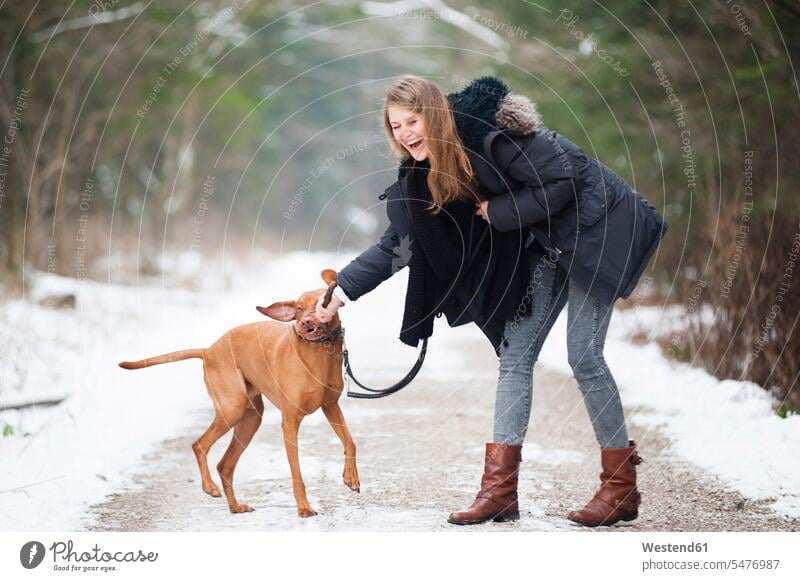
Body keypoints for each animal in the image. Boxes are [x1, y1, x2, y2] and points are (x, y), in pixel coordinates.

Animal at [117, 268, 358, 516]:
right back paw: (209, 487)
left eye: (321, 302)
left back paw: (235, 506)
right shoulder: (290, 421)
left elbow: (350, 441)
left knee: (225, 465)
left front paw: (351, 477)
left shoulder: (331, 406)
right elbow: (296, 472)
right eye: (299, 308)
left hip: (250, 419)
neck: (320, 351)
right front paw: (303, 508)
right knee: (199, 445)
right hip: (232, 407)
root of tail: (209, 350)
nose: (305, 322)